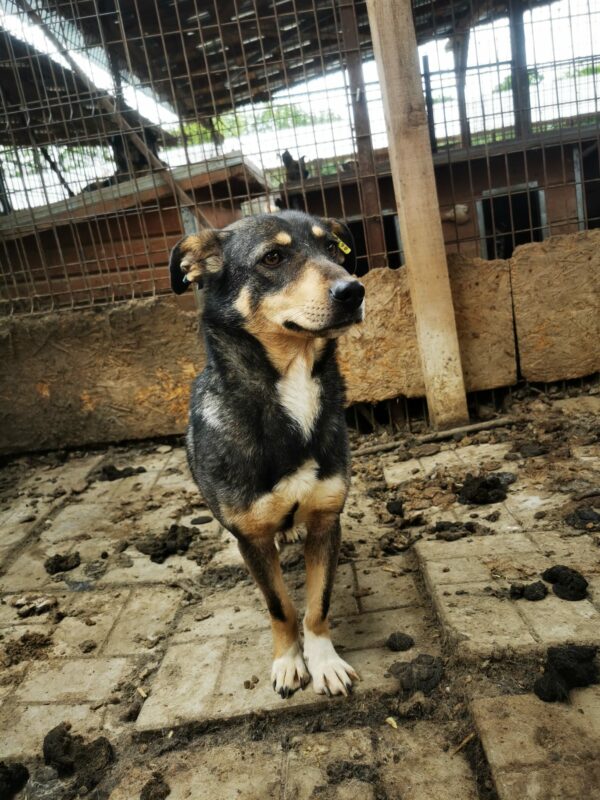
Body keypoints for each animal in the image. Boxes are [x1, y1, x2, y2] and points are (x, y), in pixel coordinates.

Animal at [169, 209, 366, 696]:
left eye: (333, 249)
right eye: (273, 257)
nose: (354, 290)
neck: (292, 386)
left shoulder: (326, 521)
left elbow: (317, 604)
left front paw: (324, 660)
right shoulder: (253, 540)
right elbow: (281, 606)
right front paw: (289, 661)